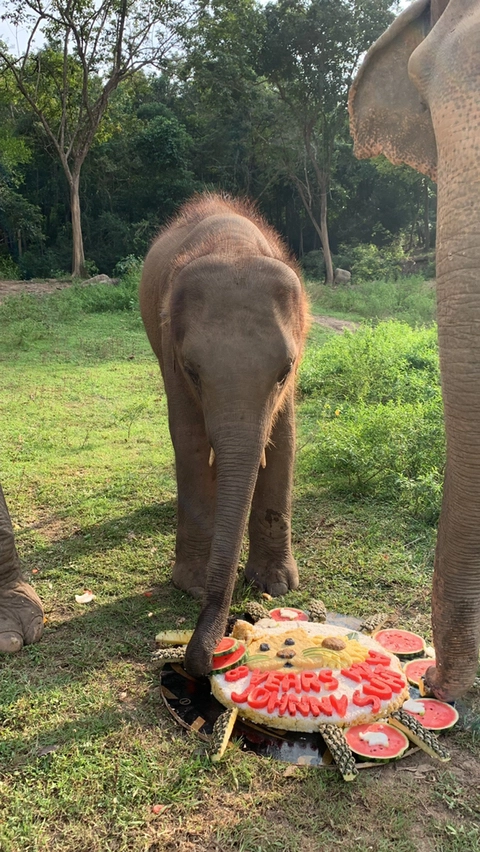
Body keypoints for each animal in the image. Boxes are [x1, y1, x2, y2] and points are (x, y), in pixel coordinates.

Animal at [141, 195, 310, 680]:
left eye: (284, 371)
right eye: (193, 371)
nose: (202, 658)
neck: (234, 247)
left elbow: (284, 438)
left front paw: (275, 584)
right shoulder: (171, 354)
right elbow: (191, 442)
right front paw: (193, 586)